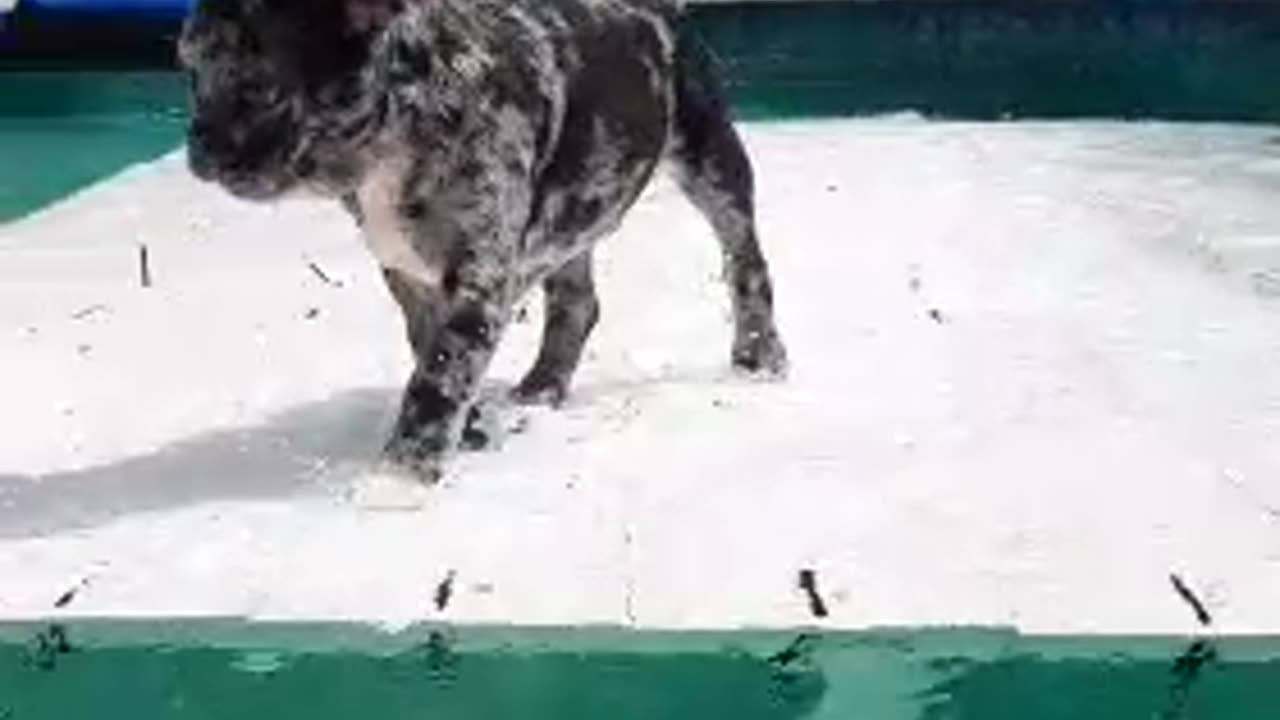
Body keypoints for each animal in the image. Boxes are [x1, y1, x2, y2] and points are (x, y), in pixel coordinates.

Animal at [176, 0, 783, 484]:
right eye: (192, 73)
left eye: (258, 86)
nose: (199, 143)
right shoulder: (409, 274)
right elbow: (429, 349)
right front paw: (467, 433)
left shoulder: (479, 274)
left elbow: (441, 372)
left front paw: (404, 471)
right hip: (578, 200)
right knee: (576, 296)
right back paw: (544, 385)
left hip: (708, 155)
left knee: (744, 257)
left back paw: (759, 353)